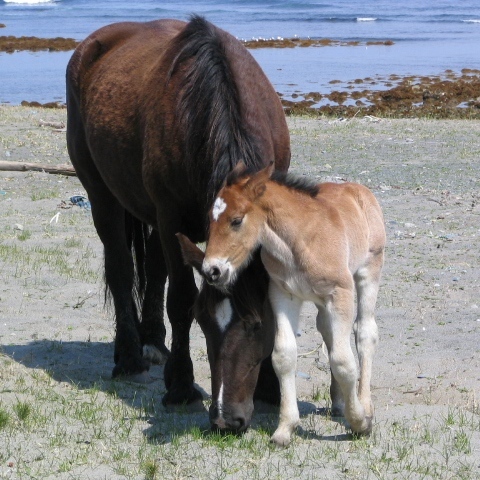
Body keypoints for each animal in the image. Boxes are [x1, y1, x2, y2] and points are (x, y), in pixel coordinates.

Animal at [66, 17, 290, 408]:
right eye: (206, 321)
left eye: (259, 324)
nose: (231, 407)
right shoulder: (171, 221)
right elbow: (181, 298)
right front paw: (182, 384)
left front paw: (270, 387)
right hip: (102, 197)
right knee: (120, 269)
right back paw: (129, 356)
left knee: (154, 270)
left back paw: (153, 342)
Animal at [202, 164, 386, 446]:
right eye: (210, 220)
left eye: (236, 220)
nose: (211, 270)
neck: (299, 241)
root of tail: (357, 189)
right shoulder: (282, 294)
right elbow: (283, 355)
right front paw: (285, 428)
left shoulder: (340, 293)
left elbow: (343, 361)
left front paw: (360, 423)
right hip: (321, 300)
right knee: (328, 333)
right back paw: (339, 402)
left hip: (369, 271)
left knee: (365, 333)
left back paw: (365, 405)